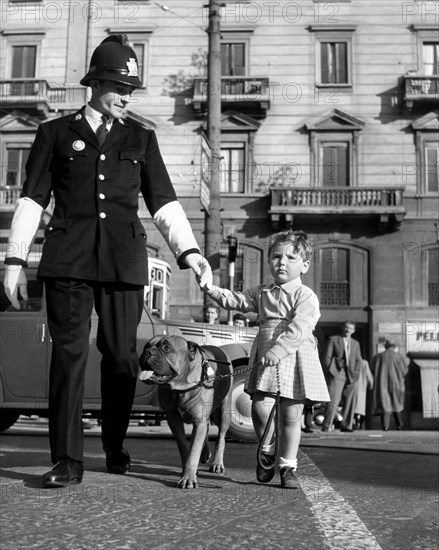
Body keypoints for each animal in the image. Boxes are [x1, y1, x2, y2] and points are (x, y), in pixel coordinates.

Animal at [140, 336, 234, 488]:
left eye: (167, 348)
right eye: (146, 346)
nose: (147, 352)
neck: (179, 388)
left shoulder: (198, 420)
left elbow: (193, 451)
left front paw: (188, 478)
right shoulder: (174, 420)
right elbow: (184, 447)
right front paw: (187, 470)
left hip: (224, 413)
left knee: (220, 437)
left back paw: (217, 464)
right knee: (207, 427)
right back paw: (205, 453)